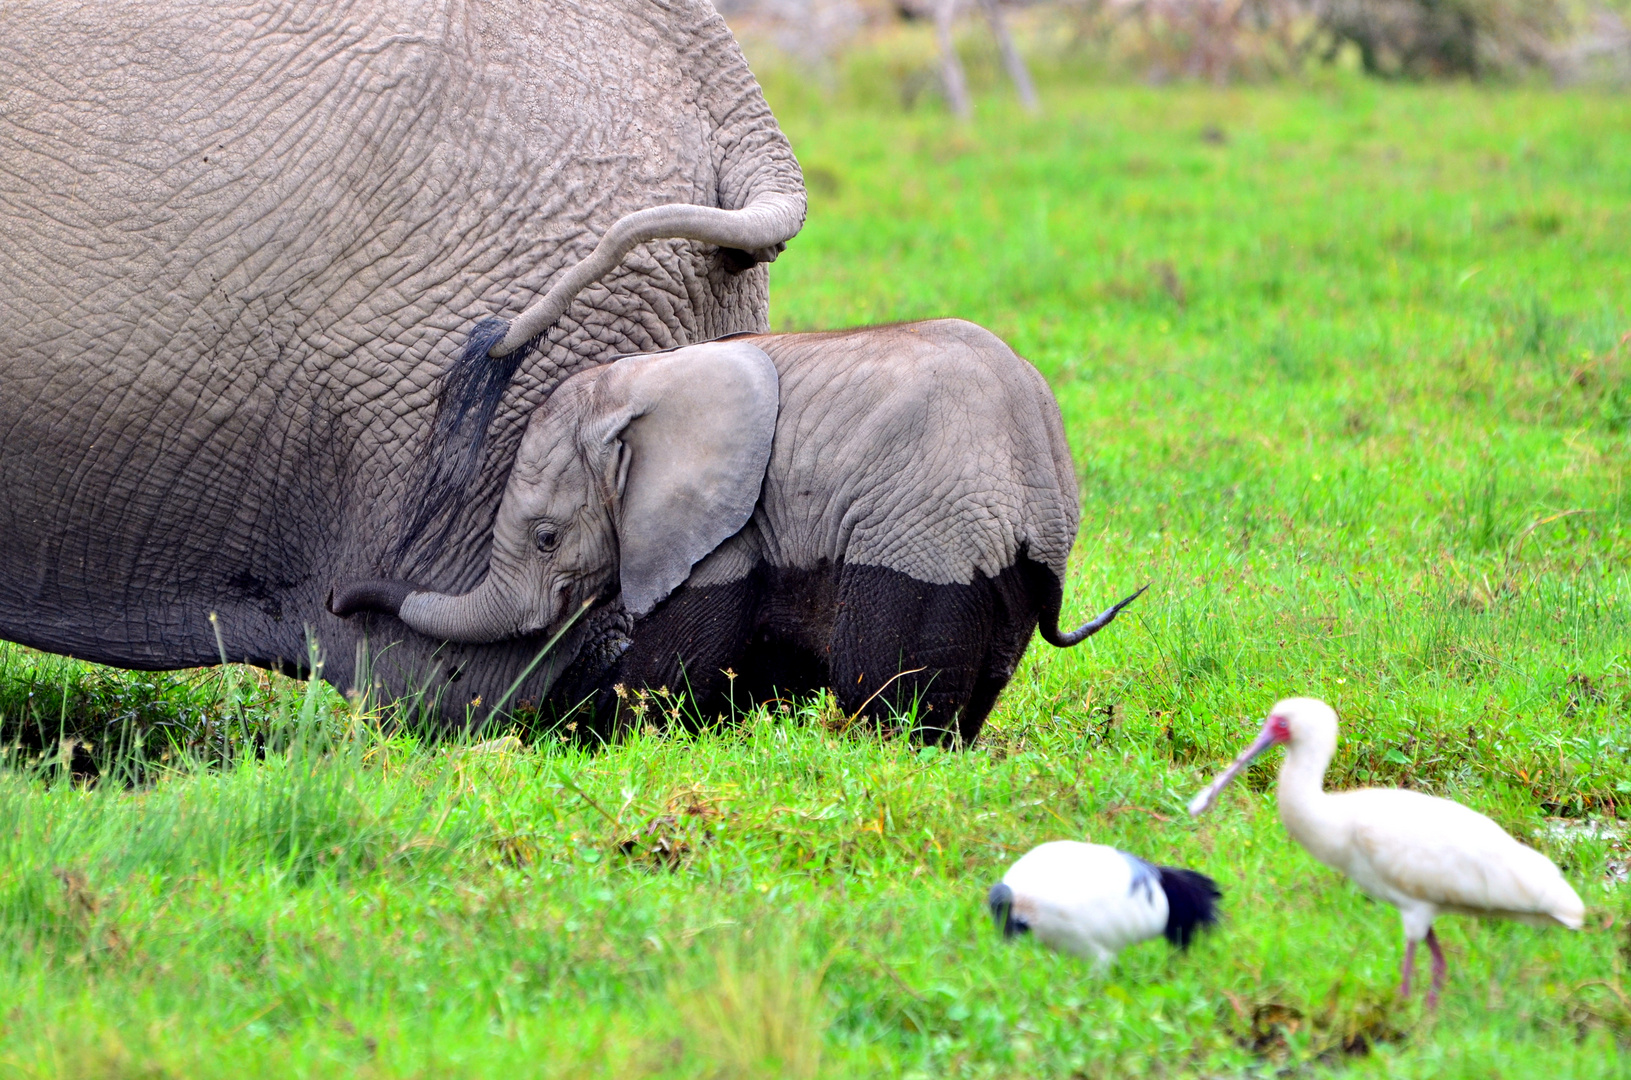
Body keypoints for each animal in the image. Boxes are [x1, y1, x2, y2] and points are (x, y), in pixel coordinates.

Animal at [334, 319, 1135, 743]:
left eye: (546, 537)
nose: (340, 600)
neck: (643, 383)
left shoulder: (725, 527)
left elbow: (680, 668)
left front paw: (574, 733)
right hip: (1005, 568)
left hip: (925, 531)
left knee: (883, 685)